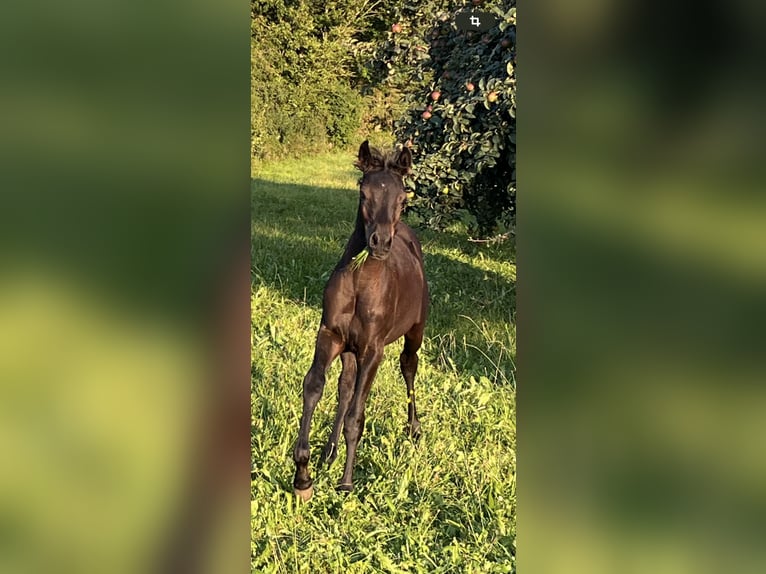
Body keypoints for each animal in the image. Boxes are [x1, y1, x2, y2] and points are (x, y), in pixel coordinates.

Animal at [292, 141, 429, 501]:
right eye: (363, 192)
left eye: (403, 199)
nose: (380, 242)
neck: (360, 284)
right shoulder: (330, 336)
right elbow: (315, 386)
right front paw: (303, 476)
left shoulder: (373, 349)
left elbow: (357, 414)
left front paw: (346, 482)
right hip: (350, 350)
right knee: (345, 385)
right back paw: (329, 451)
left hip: (415, 331)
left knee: (409, 367)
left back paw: (413, 429)